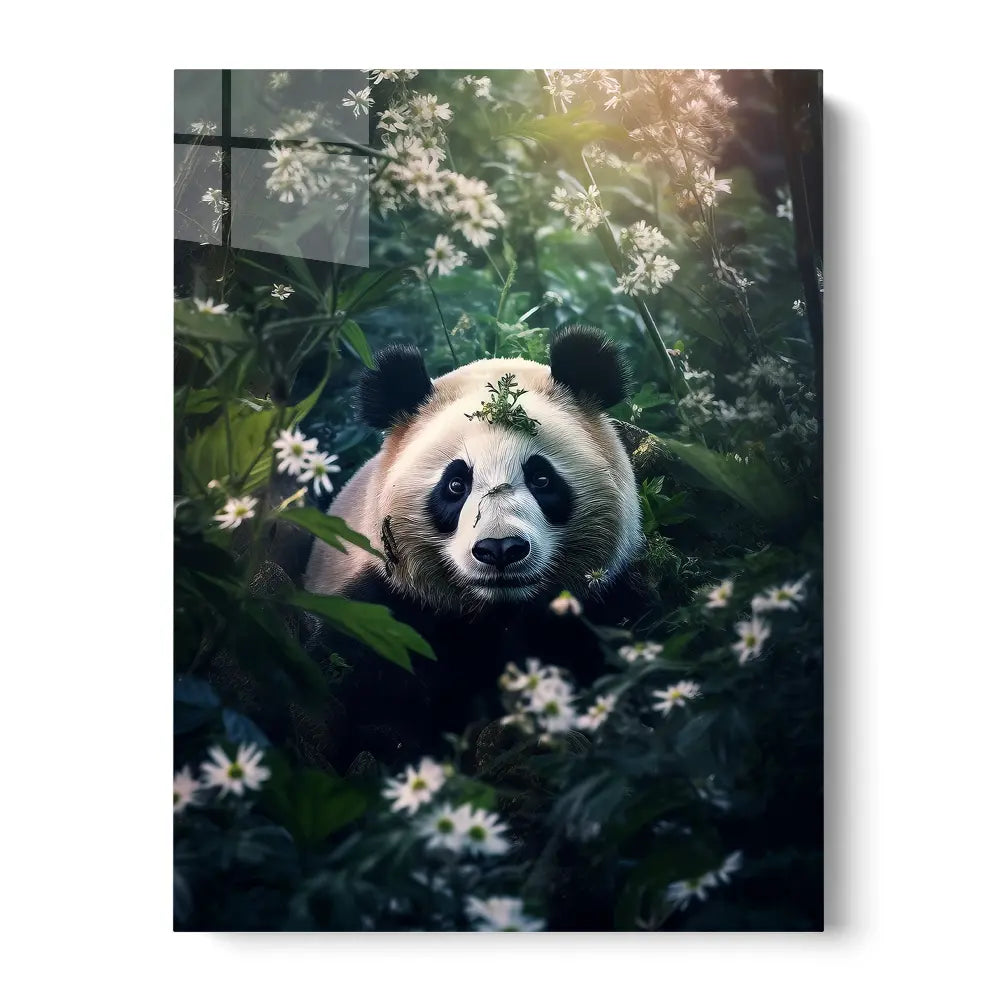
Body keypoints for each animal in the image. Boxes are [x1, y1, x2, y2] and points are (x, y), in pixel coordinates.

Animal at [303, 325, 651, 765]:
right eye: (456, 484)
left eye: (541, 479)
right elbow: (370, 681)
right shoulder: (386, 603)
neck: (495, 612)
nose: (500, 549)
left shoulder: (603, 599)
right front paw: (392, 742)